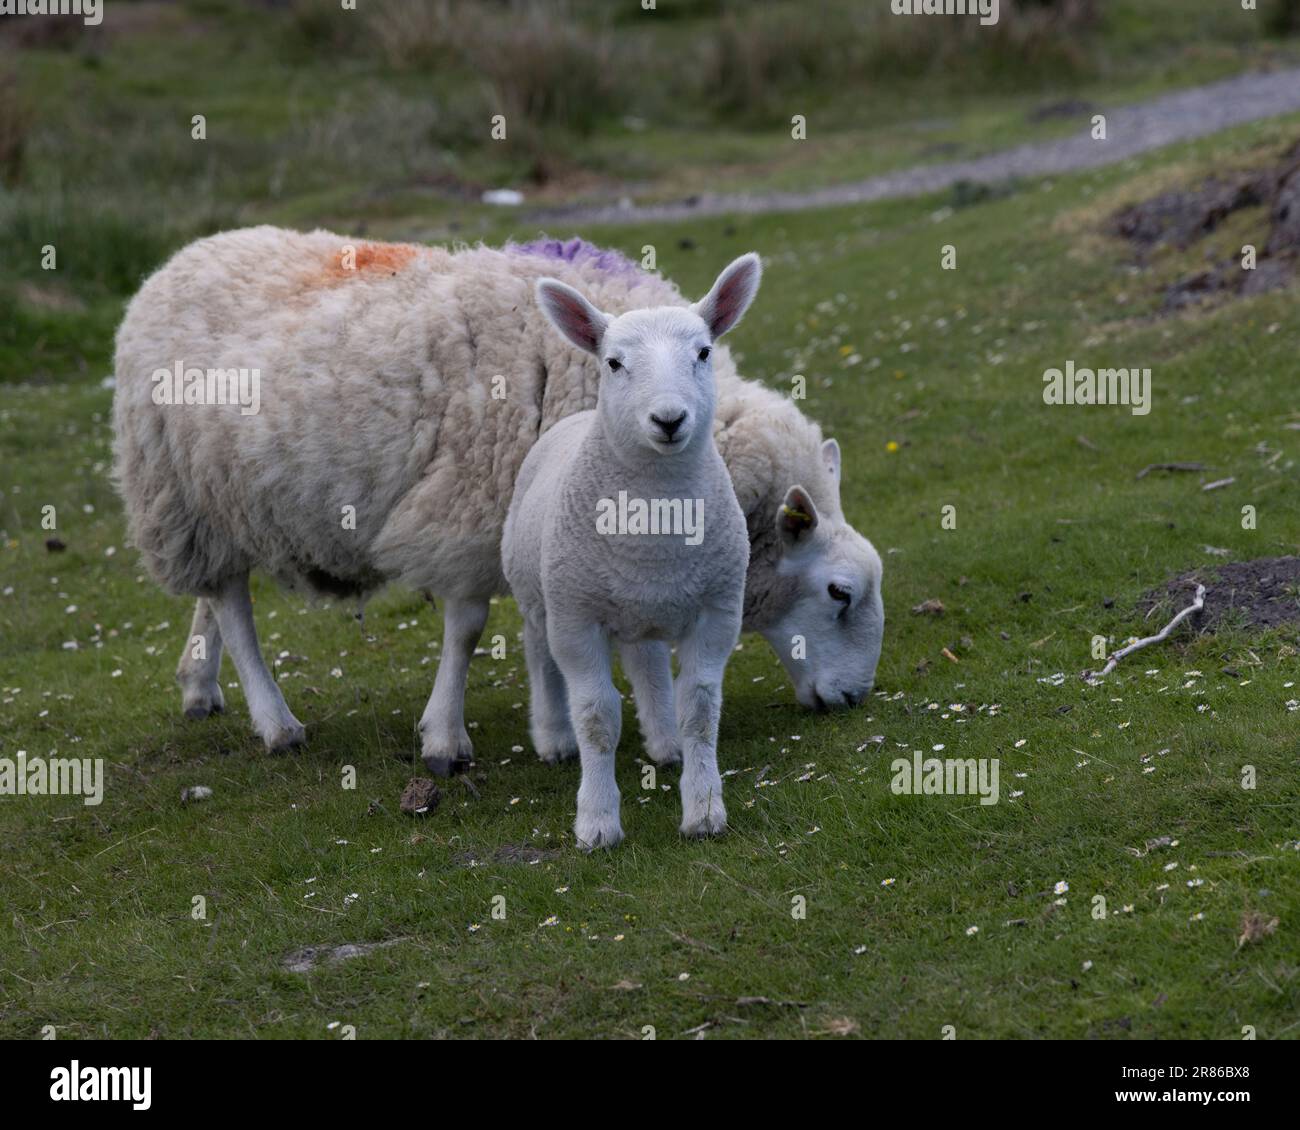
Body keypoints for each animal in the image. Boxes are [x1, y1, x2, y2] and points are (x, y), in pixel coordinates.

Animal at [112, 228, 884, 767]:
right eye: (839, 593)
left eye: (700, 352)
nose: (854, 700)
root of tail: (179, 260)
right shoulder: (469, 508)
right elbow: (469, 628)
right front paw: (447, 737)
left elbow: (550, 631)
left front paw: (566, 727)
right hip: (179, 489)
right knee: (234, 607)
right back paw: (275, 722)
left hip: (221, 502)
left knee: (214, 598)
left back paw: (199, 684)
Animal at [502, 256, 758, 848]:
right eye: (615, 362)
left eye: (703, 353)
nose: (668, 420)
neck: (654, 515)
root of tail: (576, 416)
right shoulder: (576, 619)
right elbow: (596, 718)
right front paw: (597, 822)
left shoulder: (718, 610)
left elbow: (700, 709)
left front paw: (704, 810)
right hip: (538, 592)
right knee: (537, 653)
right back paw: (552, 736)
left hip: (644, 606)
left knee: (647, 662)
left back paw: (664, 742)